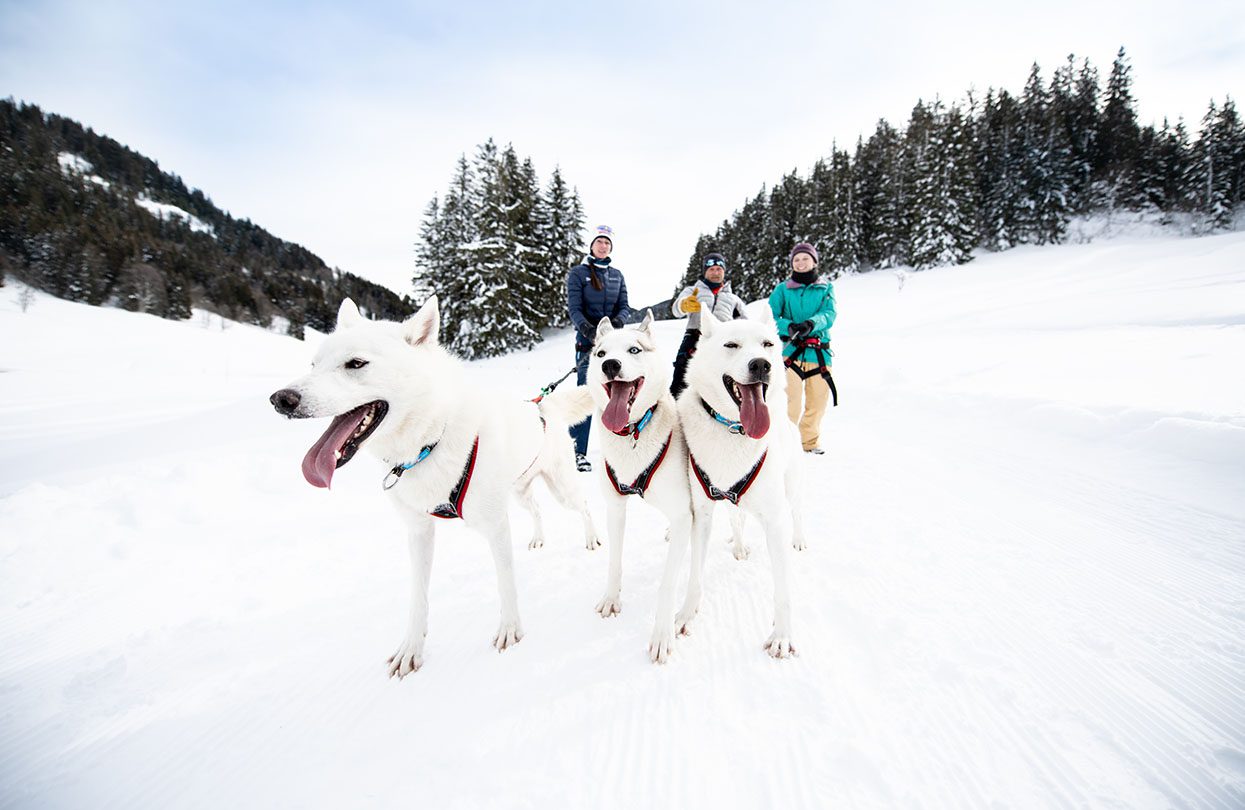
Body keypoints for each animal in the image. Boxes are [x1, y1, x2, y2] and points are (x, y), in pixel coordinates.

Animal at [271, 297, 597, 676]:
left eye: (356, 364)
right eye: (313, 364)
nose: (281, 399)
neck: (432, 439)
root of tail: (543, 406)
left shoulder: (495, 525)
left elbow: (505, 582)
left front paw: (510, 629)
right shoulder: (418, 532)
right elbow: (418, 597)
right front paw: (411, 648)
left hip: (563, 489)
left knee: (584, 507)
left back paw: (593, 539)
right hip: (519, 492)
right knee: (537, 509)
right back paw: (538, 538)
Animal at [582, 313, 702, 661]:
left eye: (634, 349)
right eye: (600, 353)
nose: (610, 364)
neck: (633, 433)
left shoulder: (681, 512)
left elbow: (667, 583)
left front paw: (662, 634)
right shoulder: (615, 507)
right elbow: (614, 561)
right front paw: (611, 598)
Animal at [672, 311, 806, 656]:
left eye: (768, 344)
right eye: (731, 345)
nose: (761, 364)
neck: (734, 429)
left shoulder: (774, 519)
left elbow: (783, 589)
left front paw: (782, 635)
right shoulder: (702, 514)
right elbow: (695, 575)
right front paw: (686, 614)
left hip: (792, 488)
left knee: (797, 512)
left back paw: (799, 539)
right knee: (736, 517)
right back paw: (739, 542)